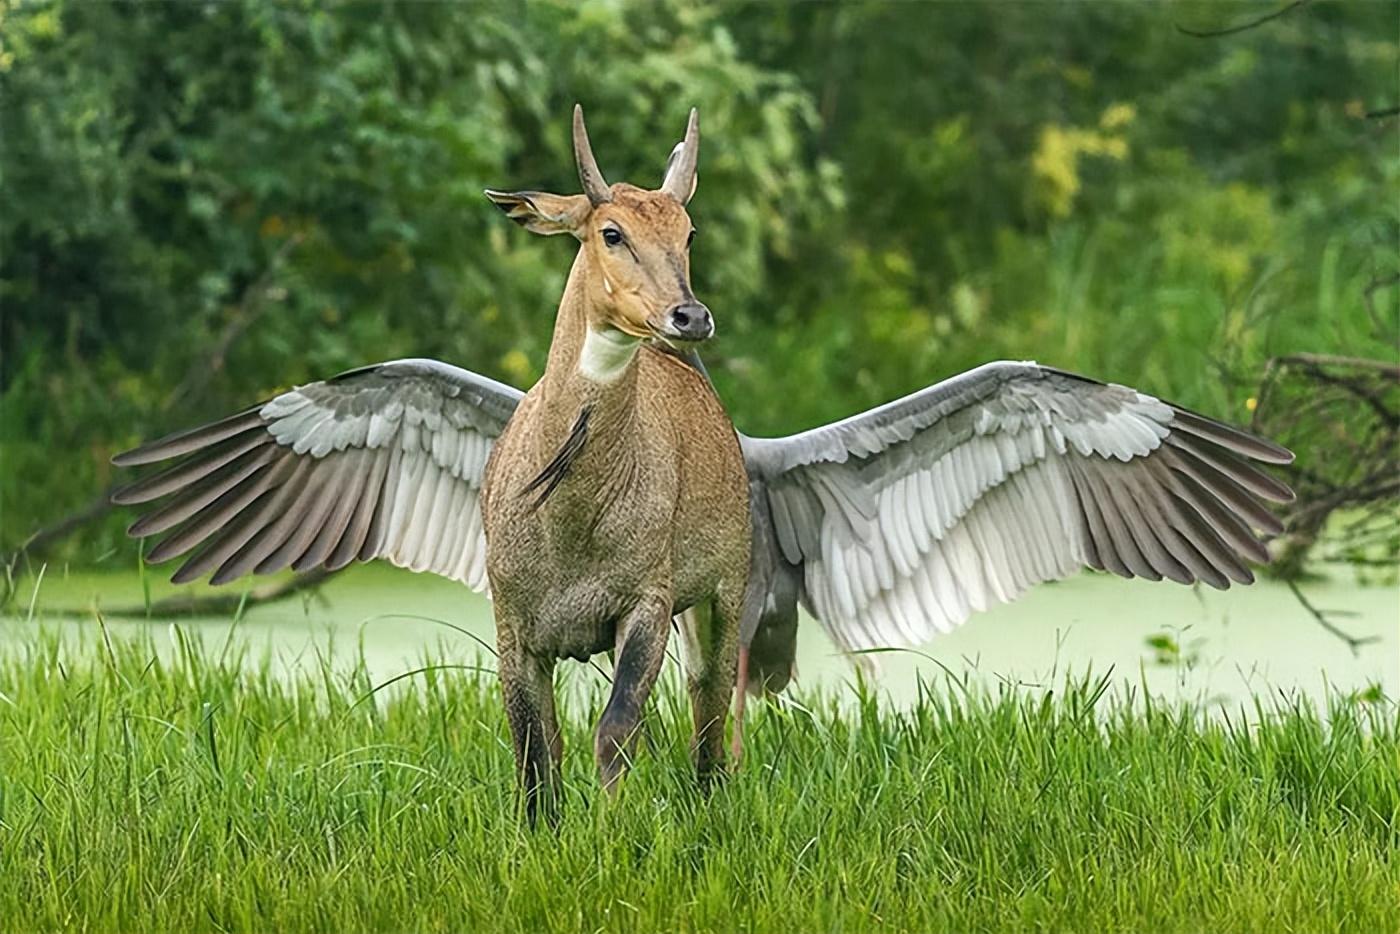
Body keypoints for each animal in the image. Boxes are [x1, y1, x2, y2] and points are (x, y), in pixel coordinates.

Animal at [112, 100, 1299, 817]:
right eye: (607, 232)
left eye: (688, 229)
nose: (691, 315)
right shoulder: (512, 625)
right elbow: (536, 763)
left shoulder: (652, 609)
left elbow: (617, 740)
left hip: (730, 612)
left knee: (714, 739)